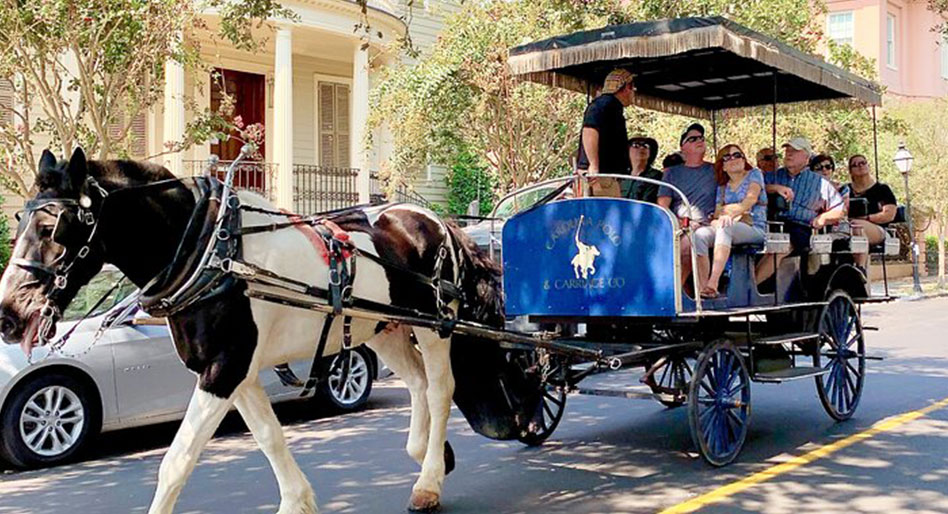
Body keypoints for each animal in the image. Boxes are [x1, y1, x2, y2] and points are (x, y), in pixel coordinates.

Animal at [0, 146, 536, 510]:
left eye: (53, 227)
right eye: (18, 221)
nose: (8, 315)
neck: (210, 250)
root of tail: (434, 218)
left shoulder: (225, 367)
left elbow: (177, 462)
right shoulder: (235, 371)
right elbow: (269, 437)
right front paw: (297, 500)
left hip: (435, 327)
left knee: (441, 388)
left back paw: (427, 482)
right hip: (384, 328)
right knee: (420, 385)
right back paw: (428, 454)